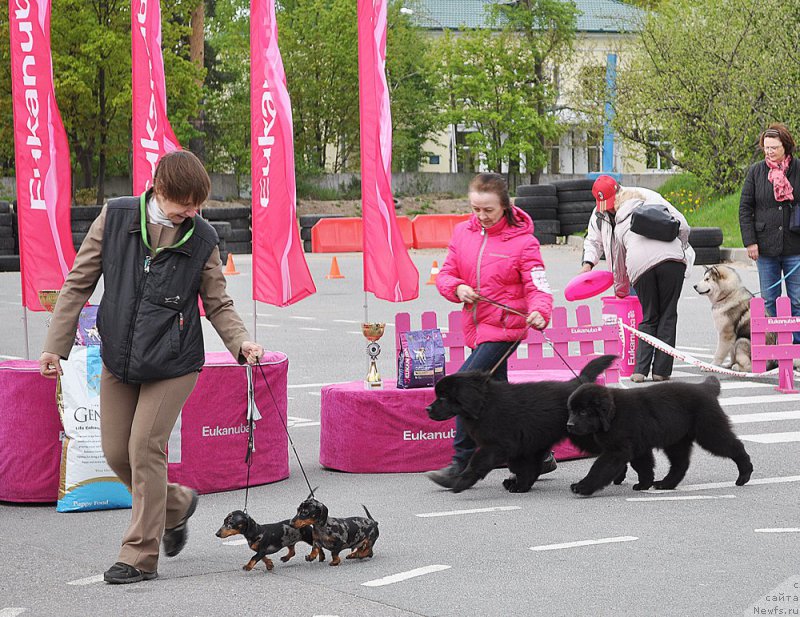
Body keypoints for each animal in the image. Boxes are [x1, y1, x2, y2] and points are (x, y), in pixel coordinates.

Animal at [424, 354, 612, 494]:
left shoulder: (498, 444)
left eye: (443, 397)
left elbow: (478, 462)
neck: (484, 404)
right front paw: (520, 485)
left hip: (581, 433)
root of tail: (579, 381)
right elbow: (524, 467)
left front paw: (460, 482)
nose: (427, 409)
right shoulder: (524, 444)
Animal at [564, 376, 752, 496]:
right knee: (681, 463)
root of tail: (705, 388)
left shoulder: (618, 450)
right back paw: (665, 484)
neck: (613, 415)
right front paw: (644, 484)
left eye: (583, 412)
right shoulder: (637, 447)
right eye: (571, 411)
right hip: (677, 440)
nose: (569, 425)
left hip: (709, 431)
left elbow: (599, 468)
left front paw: (582, 486)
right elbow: (643, 466)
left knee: (734, 446)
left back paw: (745, 474)